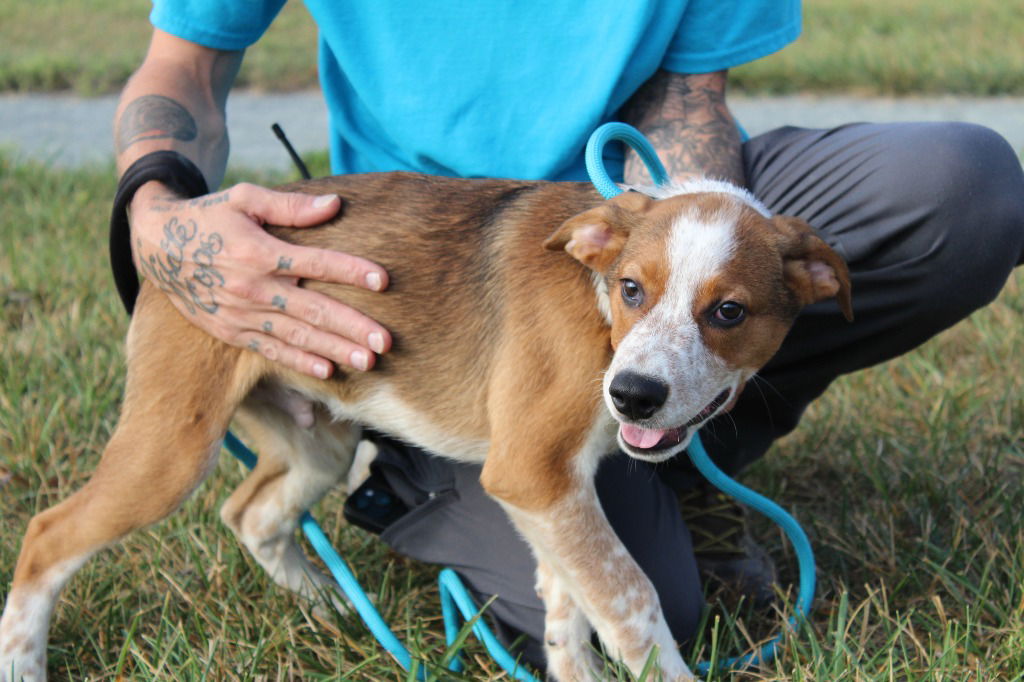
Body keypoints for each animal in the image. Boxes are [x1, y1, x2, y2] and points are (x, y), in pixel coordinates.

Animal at [0, 173, 847, 675]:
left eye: (728, 312)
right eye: (633, 288)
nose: (633, 397)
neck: (596, 304)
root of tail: (172, 240)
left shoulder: (551, 490)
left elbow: (572, 605)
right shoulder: (533, 471)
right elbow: (633, 599)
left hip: (322, 435)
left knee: (252, 513)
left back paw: (333, 612)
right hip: (172, 445)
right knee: (48, 534)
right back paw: (23, 659)